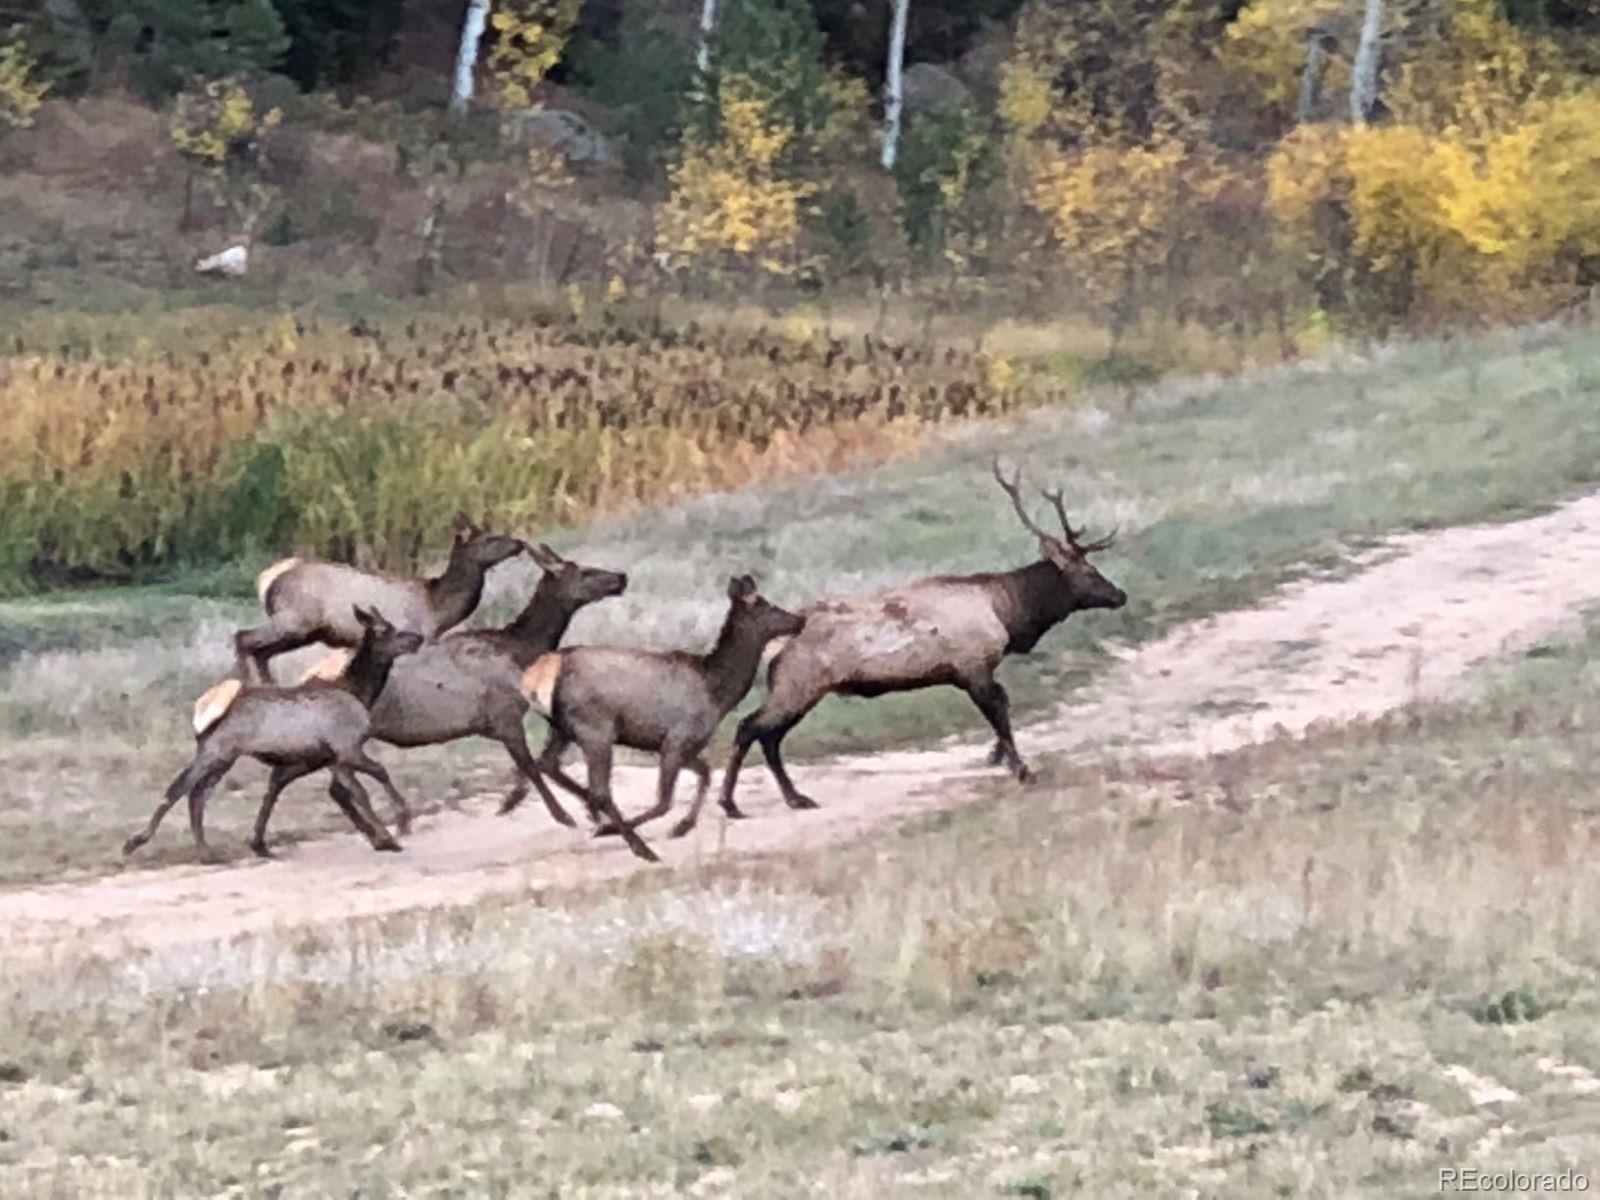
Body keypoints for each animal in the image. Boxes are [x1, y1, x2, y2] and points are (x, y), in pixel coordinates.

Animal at [123, 611, 425, 864]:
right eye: (385, 630)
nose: (417, 638)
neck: (360, 692)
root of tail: (204, 707)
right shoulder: (346, 747)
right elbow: (373, 778)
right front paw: (396, 827)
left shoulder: (322, 758)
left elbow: (287, 790)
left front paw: (259, 843)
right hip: (216, 750)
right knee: (179, 787)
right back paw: (136, 841)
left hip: (225, 757)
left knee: (197, 795)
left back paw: (206, 852)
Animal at [233, 515, 524, 684]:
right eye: (489, 539)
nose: (519, 543)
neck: (438, 609)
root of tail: (267, 582)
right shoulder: (415, 635)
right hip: (293, 619)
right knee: (243, 637)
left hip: (304, 631)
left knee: (262, 652)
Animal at [521, 576, 806, 838]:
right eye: (767, 605)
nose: (799, 620)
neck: (718, 693)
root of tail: (543, 671)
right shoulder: (676, 740)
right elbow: (664, 801)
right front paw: (629, 828)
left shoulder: (685, 745)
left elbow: (705, 774)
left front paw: (684, 825)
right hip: (596, 728)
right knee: (596, 786)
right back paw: (606, 822)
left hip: (561, 729)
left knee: (548, 763)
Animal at [700, 460, 1126, 838]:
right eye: (1089, 572)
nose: (1120, 594)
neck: (1009, 615)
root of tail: (772, 645)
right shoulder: (972, 665)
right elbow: (999, 710)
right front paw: (1020, 768)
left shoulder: (972, 671)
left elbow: (1002, 707)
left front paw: (998, 757)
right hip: (799, 683)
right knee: (751, 727)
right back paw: (733, 803)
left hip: (800, 688)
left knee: (768, 736)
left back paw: (793, 798)